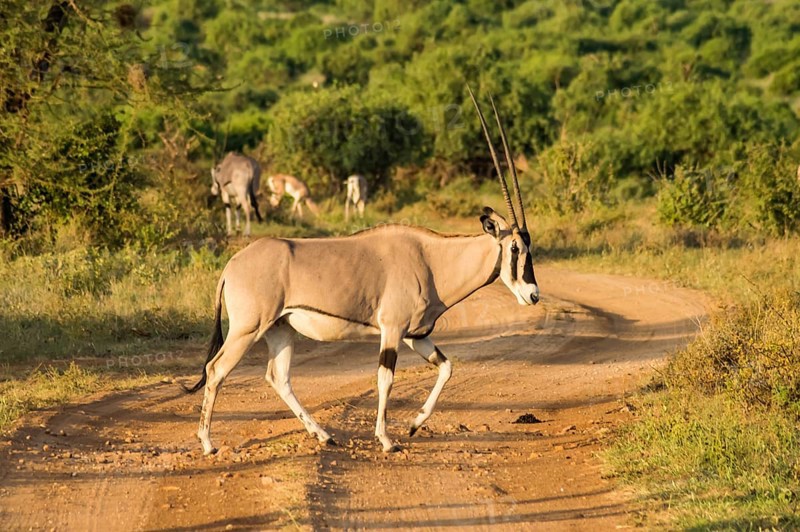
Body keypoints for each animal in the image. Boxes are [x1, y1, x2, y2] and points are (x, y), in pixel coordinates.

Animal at [184, 86, 539, 455]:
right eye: (515, 248)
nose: (533, 295)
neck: (431, 260)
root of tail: (231, 265)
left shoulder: (416, 334)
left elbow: (447, 367)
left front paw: (414, 425)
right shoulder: (392, 329)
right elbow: (386, 379)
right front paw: (386, 439)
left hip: (280, 329)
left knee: (278, 377)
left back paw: (322, 434)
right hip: (247, 328)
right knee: (216, 369)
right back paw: (207, 443)